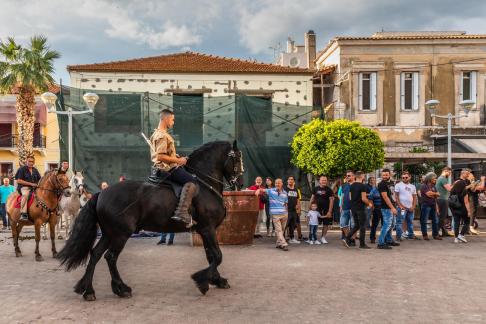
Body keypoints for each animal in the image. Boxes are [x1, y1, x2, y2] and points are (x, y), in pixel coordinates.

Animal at [58, 141, 243, 302]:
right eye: (237, 158)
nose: (240, 184)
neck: (205, 186)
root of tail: (101, 193)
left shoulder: (204, 230)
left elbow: (211, 256)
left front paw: (217, 280)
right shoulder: (208, 229)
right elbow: (217, 256)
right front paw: (202, 281)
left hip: (109, 234)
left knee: (95, 255)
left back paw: (88, 290)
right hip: (121, 234)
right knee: (110, 257)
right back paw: (121, 288)